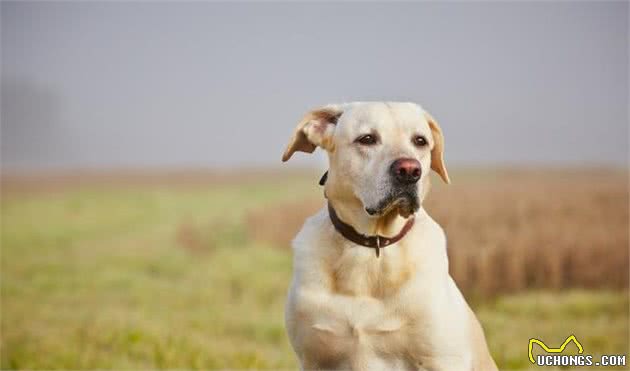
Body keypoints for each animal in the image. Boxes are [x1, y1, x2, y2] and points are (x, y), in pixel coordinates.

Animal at [284, 102, 502, 371]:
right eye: (367, 139)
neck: (373, 245)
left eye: (420, 141)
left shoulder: (442, 359)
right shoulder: (314, 359)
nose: (409, 171)